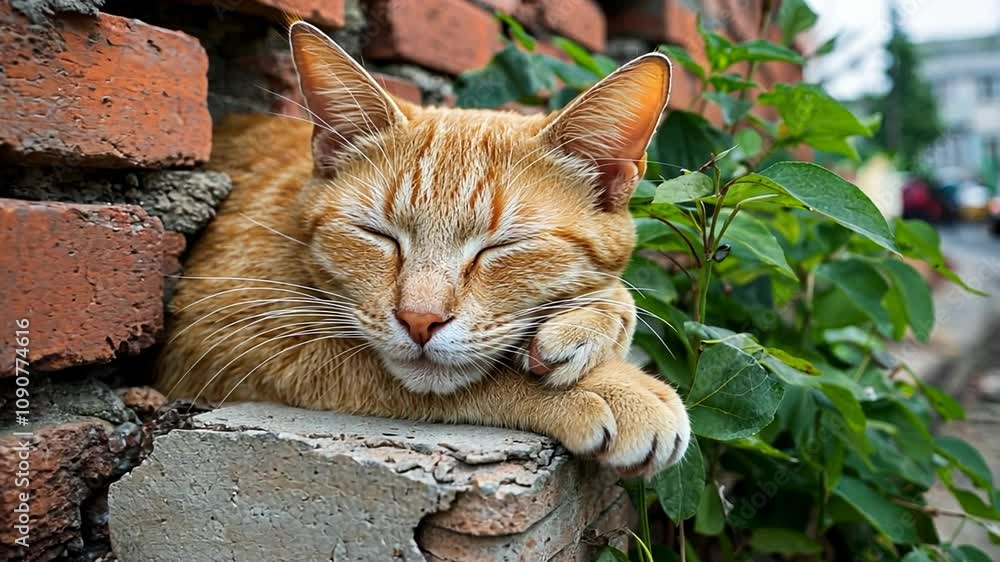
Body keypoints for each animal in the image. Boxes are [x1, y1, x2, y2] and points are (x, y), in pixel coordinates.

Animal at [158, 23, 688, 476]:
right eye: (379, 235)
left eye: (502, 246)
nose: (420, 320)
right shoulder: (218, 341)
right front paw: (615, 388)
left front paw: (599, 316)